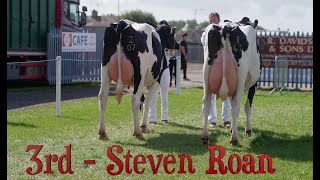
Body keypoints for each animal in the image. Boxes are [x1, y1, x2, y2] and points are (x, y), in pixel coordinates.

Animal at [201, 17, 262, 146]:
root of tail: (226, 26)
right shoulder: (254, 84)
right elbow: (248, 106)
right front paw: (248, 130)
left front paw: (232, 128)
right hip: (241, 75)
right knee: (236, 105)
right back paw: (235, 139)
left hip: (206, 74)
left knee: (206, 103)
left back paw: (205, 137)